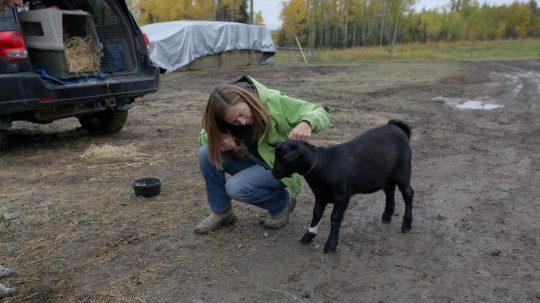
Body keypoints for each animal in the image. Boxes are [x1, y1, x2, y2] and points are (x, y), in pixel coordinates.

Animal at [272, 120, 416, 253]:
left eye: (284, 158)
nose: (274, 173)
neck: (323, 165)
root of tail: (397, 127)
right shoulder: (320, 195)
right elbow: (316, 213)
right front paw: (308, 236)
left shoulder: (342, 196)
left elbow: (335, 218)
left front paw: (331, 245)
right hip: (387, 173)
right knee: (389, 189)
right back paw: (387, 216)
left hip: (403, 170)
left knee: (408, 193)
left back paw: (406, 223)